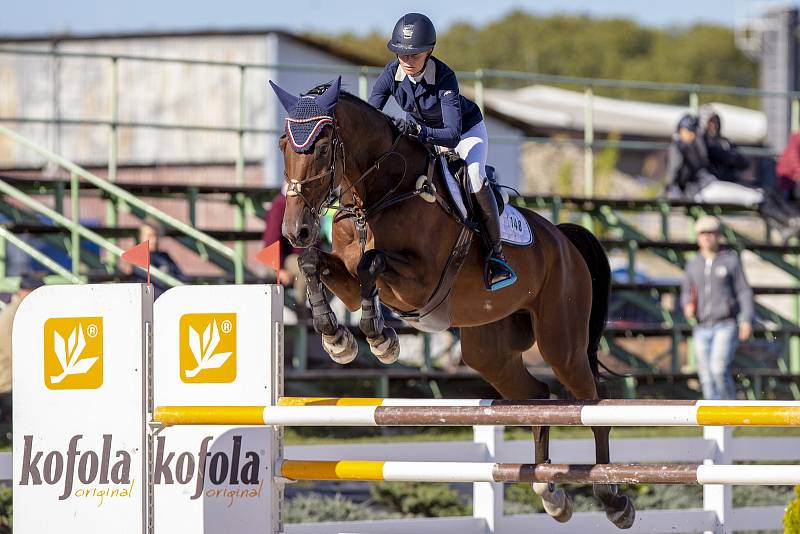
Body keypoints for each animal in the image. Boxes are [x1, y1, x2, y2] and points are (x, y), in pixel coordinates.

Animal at [272, 76, 636, 532]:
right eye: (283, 145)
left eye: (321, 147)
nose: (296, 230)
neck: (380, 194)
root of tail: (565, 239)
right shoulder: (351, 281)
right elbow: (313, 263)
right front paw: (338, 339)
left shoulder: (419, 284)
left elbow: (373, 264)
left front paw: (381, 340)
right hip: (489, 351)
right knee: (538, 395)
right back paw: (550, 492)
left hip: (561, 342)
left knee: (592, 399)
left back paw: (613, 498)